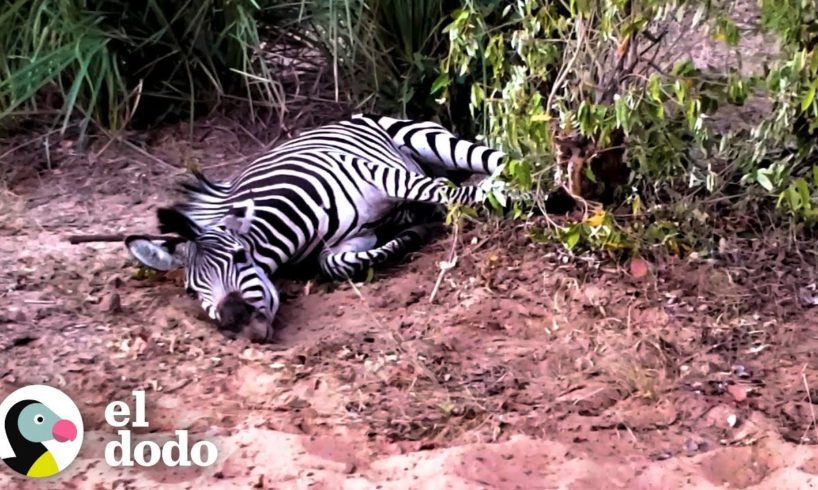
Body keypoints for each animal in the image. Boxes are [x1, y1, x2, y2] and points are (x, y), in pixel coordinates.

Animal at [124, 113, 507, 342]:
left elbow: (446, 191)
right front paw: (412, 232)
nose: (238, 323)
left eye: (240, 257)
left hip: (424, 140)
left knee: (488, 160)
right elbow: (334, 264)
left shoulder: (379, 174)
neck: (297, 226)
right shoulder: (355, 238)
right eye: (192, 290)